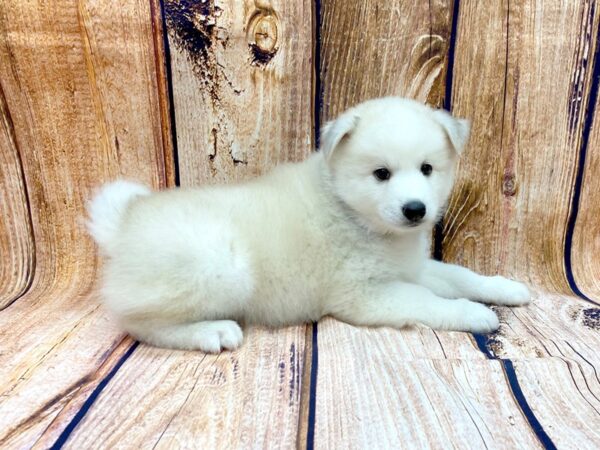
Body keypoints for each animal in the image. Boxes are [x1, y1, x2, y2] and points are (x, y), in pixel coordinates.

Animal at [89, 97, 528, 352]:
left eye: (427, 169)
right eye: (381, 174)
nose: (415, 209)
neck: (355, 216)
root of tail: (124, 223)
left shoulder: (414, 269)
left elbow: (461, 275)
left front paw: (506, 288)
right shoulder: (367, 295)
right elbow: (429, 302)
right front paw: (474, 313)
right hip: (220, 266)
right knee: (140, 324)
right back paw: (212, 332)